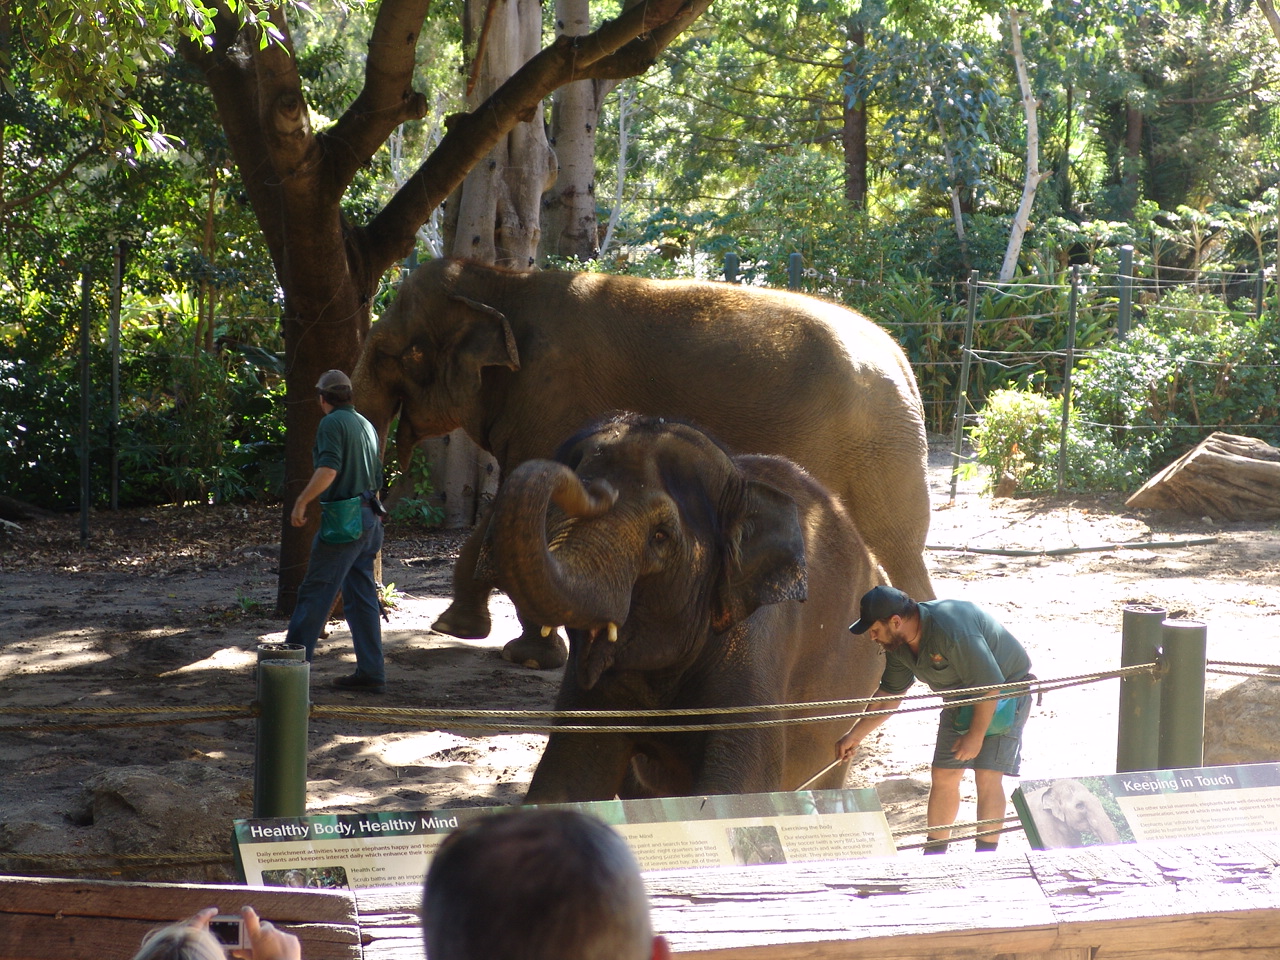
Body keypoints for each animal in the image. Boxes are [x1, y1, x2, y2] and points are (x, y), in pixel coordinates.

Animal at [352, 257, 934, 669]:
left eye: (392, 354)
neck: (501, 281)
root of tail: (900, 359)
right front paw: (461, 630)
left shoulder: (551, 399)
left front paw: (513, 651)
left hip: (876, 450)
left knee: (897, 549)